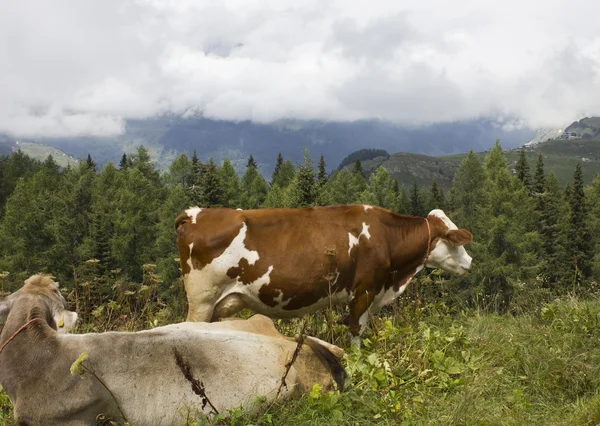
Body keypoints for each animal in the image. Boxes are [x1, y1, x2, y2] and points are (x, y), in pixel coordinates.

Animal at [176, 204, 472, 346]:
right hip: (201, 300)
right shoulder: (364, 289)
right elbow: (356, 330)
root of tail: (194, 213)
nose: (470, 261)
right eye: (454, 239)